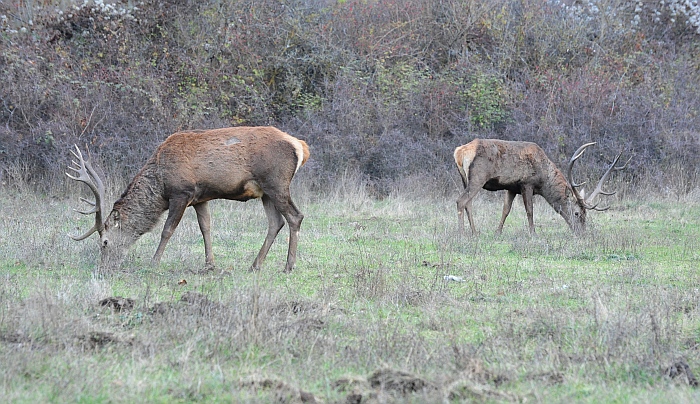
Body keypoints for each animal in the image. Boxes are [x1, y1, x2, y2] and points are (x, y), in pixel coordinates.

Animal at [67, 126, 308, 272]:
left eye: (105, 242)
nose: (104, 267)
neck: (160, 182)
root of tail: (300, 146)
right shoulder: (201, 198)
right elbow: (206, 227)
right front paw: (209, 264)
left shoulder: (181, 193)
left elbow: (167, 230)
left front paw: (154, 262)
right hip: (265, 191)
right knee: (276, 222)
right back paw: (255, 265)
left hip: (276, 182)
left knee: (295, 216)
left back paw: (289, 266)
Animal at [454, 139, 628, 234]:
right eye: (577, 213)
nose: (582, 233)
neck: (544, 179)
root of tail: (459, 152)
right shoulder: (526, 183)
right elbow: (530, 211)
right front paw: (533, 233)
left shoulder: (511, 187)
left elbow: (505, 210)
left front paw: (498, 232)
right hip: (478, 177)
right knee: (461, 201)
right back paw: (462, 233)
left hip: (465, 179)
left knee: (468, 203)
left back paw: (475, 232)